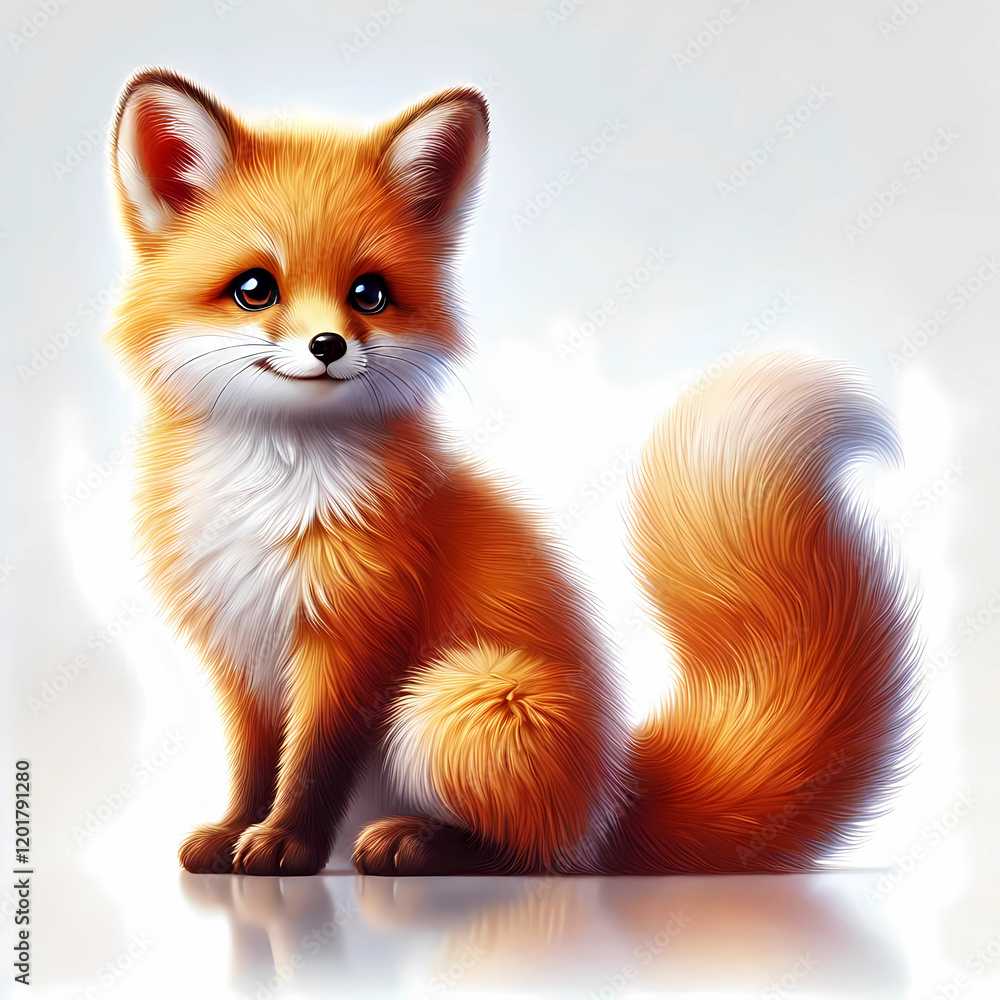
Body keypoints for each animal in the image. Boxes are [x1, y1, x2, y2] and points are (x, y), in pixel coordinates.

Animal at [104, 68, 920, 877]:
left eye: (368, 293)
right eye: (255, 289)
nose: (328, 345)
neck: (270, 491)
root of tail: (616, 790)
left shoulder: (356, 638)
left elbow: (311, 765)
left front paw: (286, 846)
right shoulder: (239, 653)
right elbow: (252, 765)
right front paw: (231, 831)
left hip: (454, 696)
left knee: (535, 853)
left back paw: (417, 844)